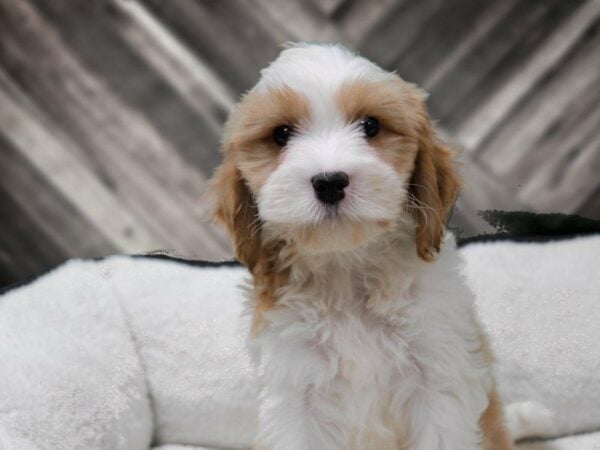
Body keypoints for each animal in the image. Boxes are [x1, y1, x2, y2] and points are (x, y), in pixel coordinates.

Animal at [210, 43, 510, 450]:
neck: (348, 266)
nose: (330, 181)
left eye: (370, 126)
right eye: (281, 134)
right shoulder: (296, 390)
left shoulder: (437, 374)